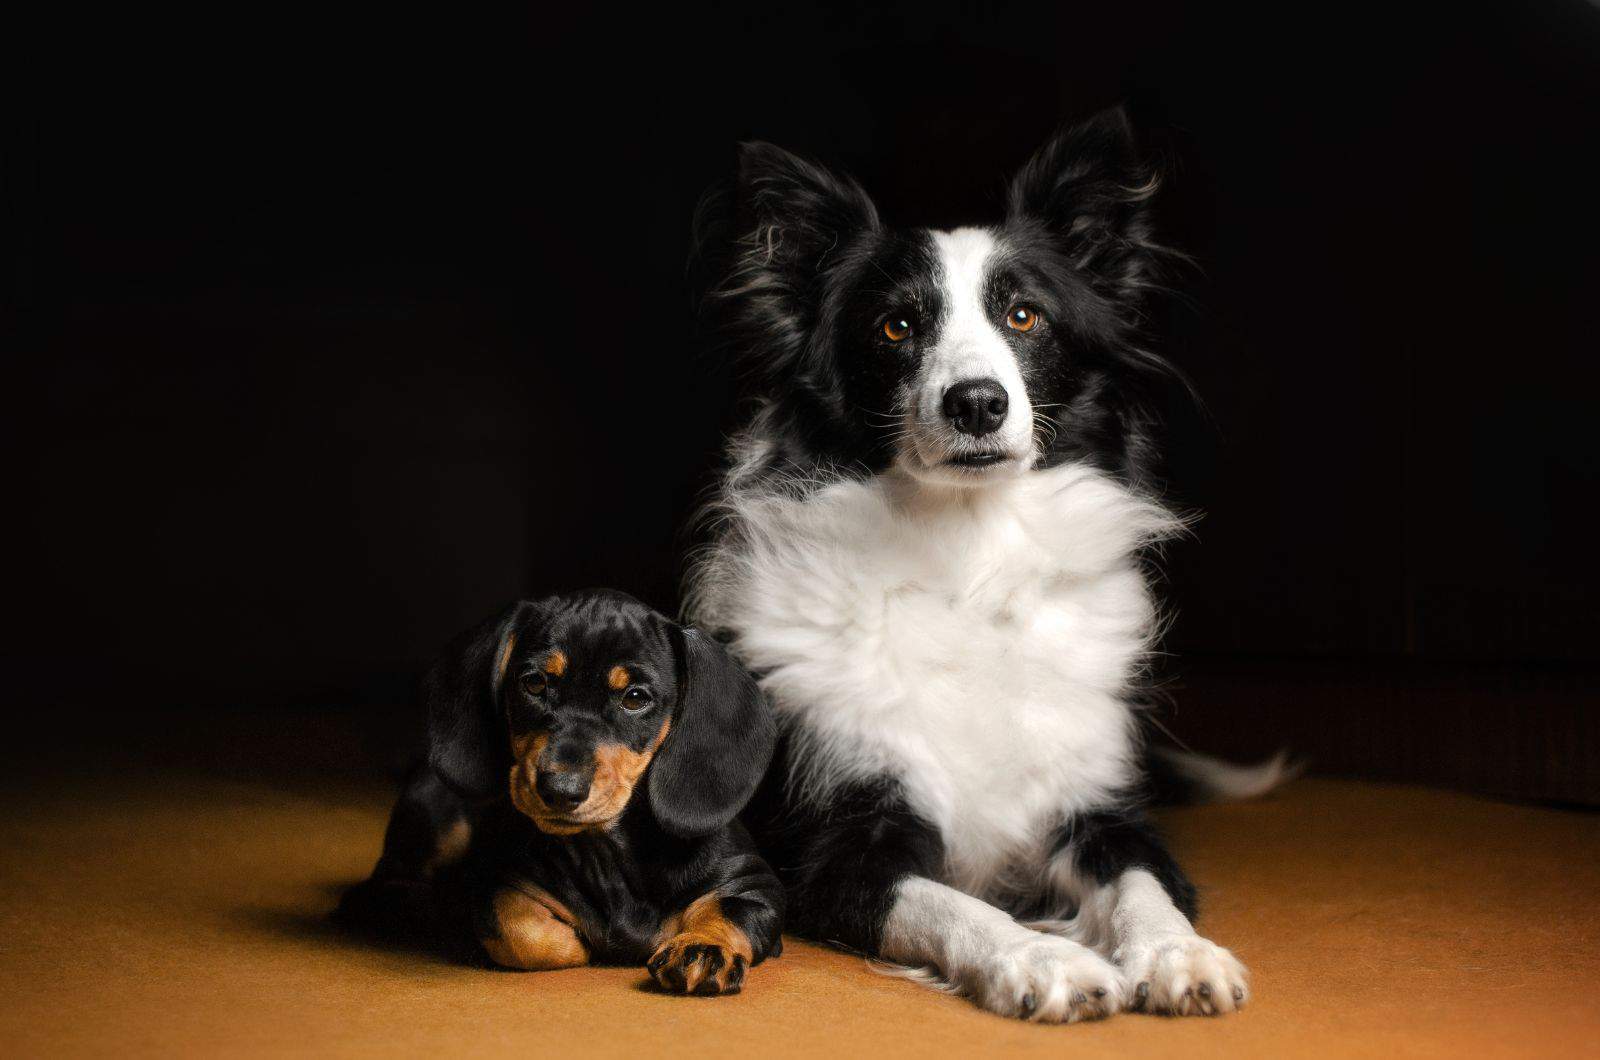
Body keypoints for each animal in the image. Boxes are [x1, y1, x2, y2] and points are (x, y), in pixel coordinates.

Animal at [340, 589, 784, 999]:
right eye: (534, 683)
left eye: (635, 698)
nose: (559, 790)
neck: (607, 851)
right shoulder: (501, 880)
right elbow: (514, 927)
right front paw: (586, 943)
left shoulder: (754, 884)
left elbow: (730, 909)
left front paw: (704, 947)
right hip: (434, 812)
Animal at [688, 105, 1286, 1024]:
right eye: (897, 326)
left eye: (1025, 317)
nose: (976, 403)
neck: (967, 563)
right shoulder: (838, 848)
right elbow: (954, 905)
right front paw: (1043, 960)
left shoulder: (1099, 809)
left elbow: (1144, 884)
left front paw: (1179, 954)